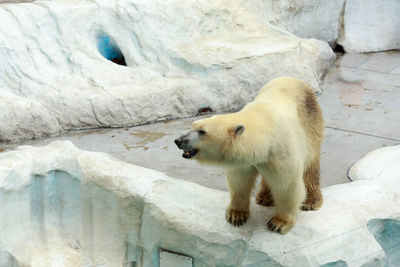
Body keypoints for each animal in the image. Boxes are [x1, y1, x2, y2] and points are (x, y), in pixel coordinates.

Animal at [173, 76, 324, 234]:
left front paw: (279, 223)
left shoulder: (281, 152)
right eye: (193, 125)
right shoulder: (243, 160)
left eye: (202, 131)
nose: (178, 140)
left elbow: (287, 186)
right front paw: (236, 216)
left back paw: (311, 201)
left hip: (310, 123)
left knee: (310, 166)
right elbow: (240, 182)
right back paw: (264, 197)